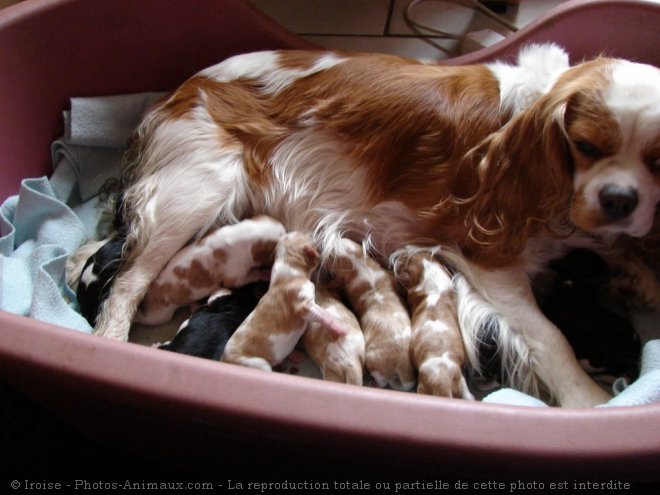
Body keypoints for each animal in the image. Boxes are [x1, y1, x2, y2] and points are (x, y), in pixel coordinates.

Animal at [135, 216, 284, 326]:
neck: (244, 233)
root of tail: (150, 291)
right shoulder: (235, 277)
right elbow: (254, 274)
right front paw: (266, 273)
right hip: (160, 315)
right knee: (145, 319)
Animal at [220, 232, 348, 372]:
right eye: (306, 235)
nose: (319, 238)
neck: (287, 270)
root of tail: (222, 360)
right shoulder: (303, 305)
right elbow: (323, 314)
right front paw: (339, 327)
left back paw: (295, 355)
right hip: (256, 364)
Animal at [328, 238, 416, 394]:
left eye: (331, 256)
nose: (337, 238)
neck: (359, 264)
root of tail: (402, 368)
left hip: (374, 364)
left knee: (382, 381)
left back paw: (373, 383)